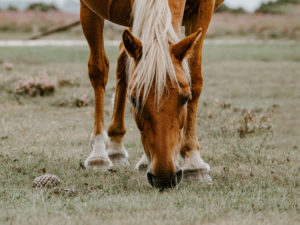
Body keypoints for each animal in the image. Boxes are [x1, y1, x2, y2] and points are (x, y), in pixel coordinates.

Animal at [79, 0, 223, 189]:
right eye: (133, 100)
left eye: (186, 98)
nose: (164, 177)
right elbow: (99, 70)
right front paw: (98, 154)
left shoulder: (204, 8)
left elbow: (194, 76)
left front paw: (194, 163)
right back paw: (106, 152)